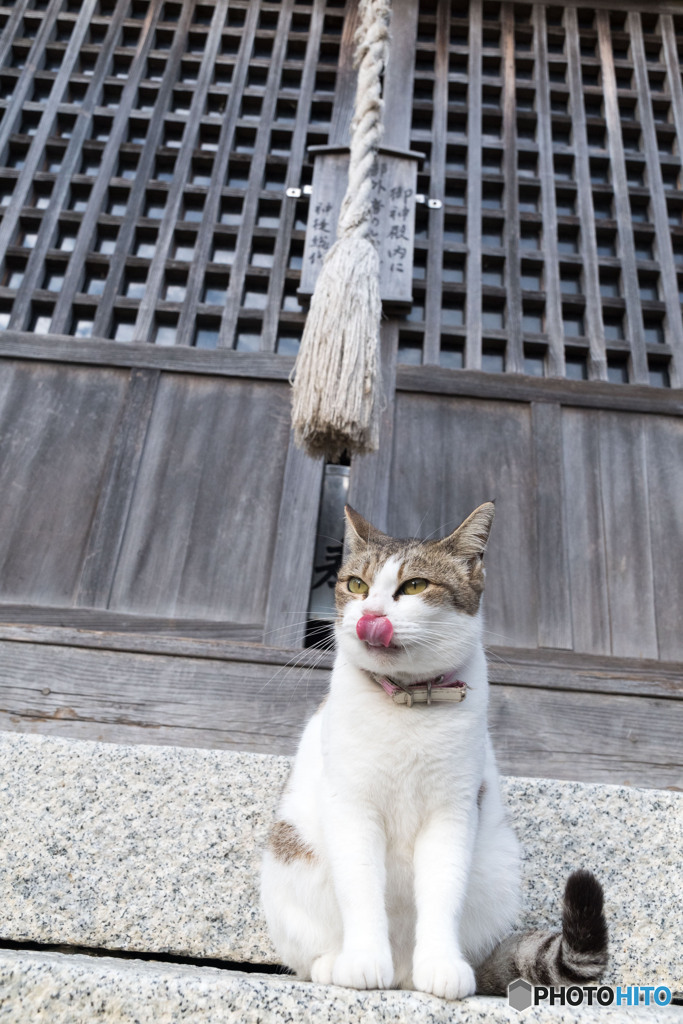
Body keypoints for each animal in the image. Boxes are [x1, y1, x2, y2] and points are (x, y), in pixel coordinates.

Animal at [262, 503, 610, 999]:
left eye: (414, 586)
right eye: (356, 585)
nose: (371, 613)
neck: (408, 703)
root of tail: (399, 970)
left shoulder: (452, 813)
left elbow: (442, 891)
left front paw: (442, 966)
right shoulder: (352, 808)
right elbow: (362, 888)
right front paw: (363, 961)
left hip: (497, 866)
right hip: (290, 860)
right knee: (309, 954)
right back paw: (335, 964)